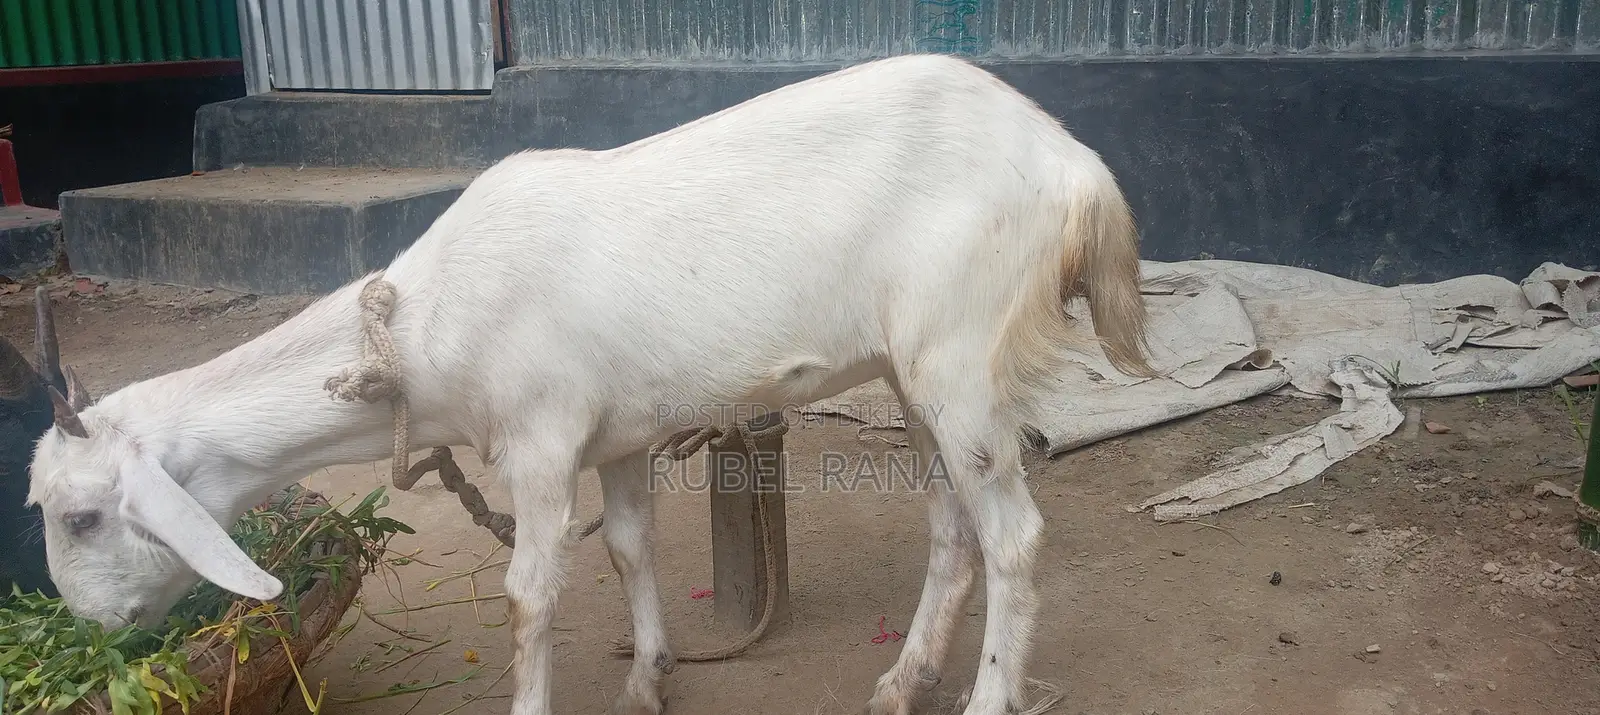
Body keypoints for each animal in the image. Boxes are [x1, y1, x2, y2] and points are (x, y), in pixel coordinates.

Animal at [28, 53, 1152, 715]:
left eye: (80, 517)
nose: (92, 628)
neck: (425, 324)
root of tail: (1074, 163)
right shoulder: (617, 436)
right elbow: (625, 546)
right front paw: (649, 677)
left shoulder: (540, 438)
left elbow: (530, 595)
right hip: (916, 371)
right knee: (951, 524)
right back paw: (903, 678)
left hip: (960, 348)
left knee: (1014, 536)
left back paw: (985, 696)